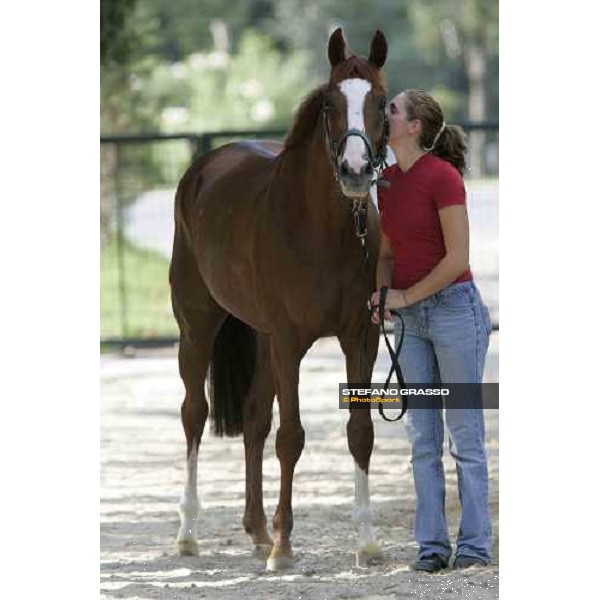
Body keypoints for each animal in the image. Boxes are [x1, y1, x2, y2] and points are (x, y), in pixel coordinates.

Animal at [170, 29, 390, 572]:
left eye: (381, 102)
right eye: (331, 103)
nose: (355, 170)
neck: (324, 230)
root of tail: (203, 168)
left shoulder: (361, 338)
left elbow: (360, 431)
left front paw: (367, 542)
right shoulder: (291, 342)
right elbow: (291, 437)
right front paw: (285, 548)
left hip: (263, 338)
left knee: (253, 420)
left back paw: (256, 531)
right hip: (197, 327)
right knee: (194, 413)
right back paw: (189, 533)